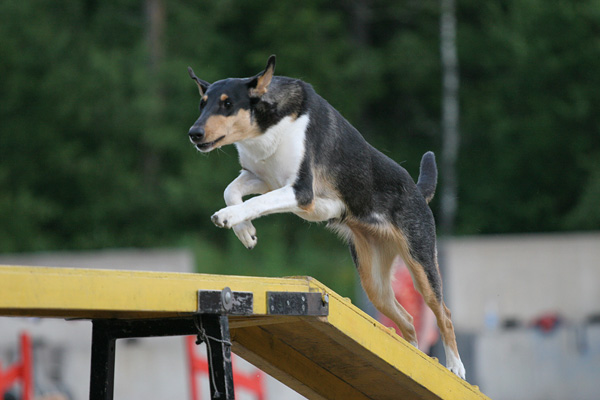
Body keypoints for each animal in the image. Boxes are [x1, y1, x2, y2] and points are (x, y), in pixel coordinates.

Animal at [187, 55, 466, 379]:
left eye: (228, 103)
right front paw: (245, 232)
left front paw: (229, 217)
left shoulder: (299, 190)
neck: (268, 127)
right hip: (374, 283)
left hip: (420, 265)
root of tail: (419, 192)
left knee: (444, 313)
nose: (194, 133)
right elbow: (231, 190)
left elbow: (255, 201)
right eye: (202, 104)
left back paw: (455, 367)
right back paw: (414, 363)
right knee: (407, 321)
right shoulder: (263, 177)